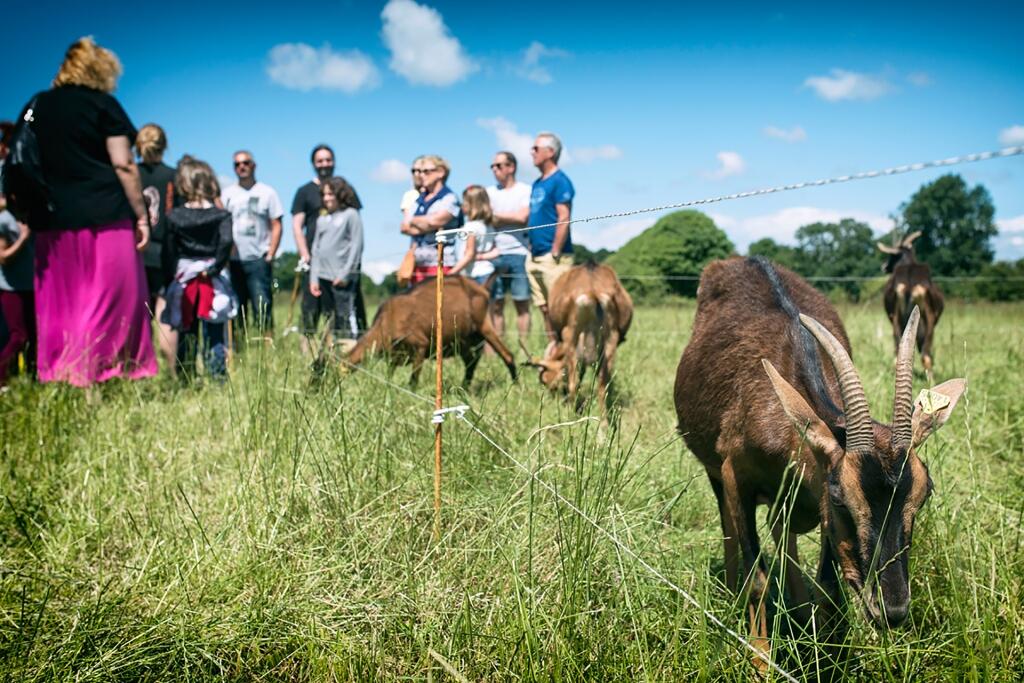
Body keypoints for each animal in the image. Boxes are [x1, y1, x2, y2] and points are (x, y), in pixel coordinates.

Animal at [346, 274, 520, 387]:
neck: (386, 321)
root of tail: (482, 288)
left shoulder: (420, 345)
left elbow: (413, 380)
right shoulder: (393, 356)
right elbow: (389, 377)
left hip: (484, 326)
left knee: (507, 355)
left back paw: (516, 385)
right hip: (464, 340)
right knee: (471, 361)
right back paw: (463, 387)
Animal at [520, 262, 630, 411]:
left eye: (547, 382)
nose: (551, 395)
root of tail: (592, 292)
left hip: (571, 335)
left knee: (575, 381)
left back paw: (571, 412)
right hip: (610, 338)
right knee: (602, 383)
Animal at [675, 255, 962, 671]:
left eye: (925, 494)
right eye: (841, 497)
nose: (892, 609)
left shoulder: (817, 504)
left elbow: (829, 586)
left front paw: (828, 658)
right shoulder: (736, 475)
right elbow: (758, 577)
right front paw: (761, 662)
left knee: (783, 531)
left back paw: (798, 607)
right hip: (717, 474)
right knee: (731, 529)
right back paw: (733, 593)